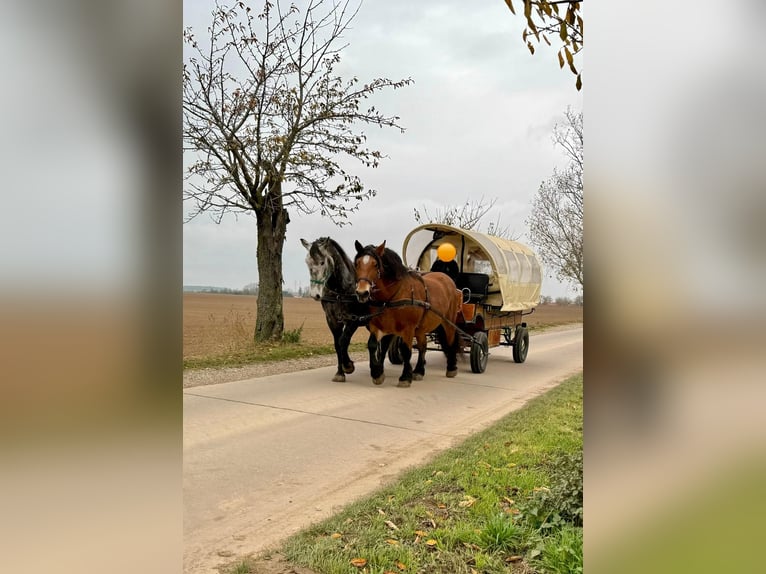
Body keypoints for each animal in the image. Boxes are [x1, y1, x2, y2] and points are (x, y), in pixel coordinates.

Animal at [356, 241, 462, 390]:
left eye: (375, 264)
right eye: (357, 263)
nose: (362, 293)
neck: (392, 296)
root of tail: (447, 279)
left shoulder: (408, 328)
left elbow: (406, 350)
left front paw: (405, 377)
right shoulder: (378, 326)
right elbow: (372, 345)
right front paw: (377, 373)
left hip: (448, 321)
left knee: (450, 341)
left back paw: (452, 367)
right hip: (421, 328)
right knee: (423, 346)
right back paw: (419, 371)